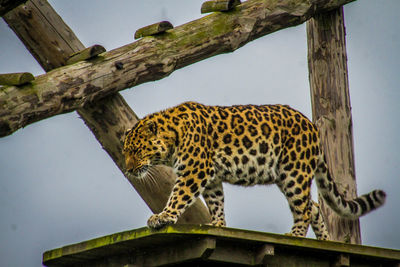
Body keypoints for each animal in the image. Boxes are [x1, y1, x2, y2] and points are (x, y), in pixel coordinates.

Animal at [123, 102, 386, 241]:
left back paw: (295, 235)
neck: (172, 138)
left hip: (294, 172)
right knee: (313, 206)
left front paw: (163, 216)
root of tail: (313, 127)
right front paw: (217, 224)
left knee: (303, 208)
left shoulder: (195, 170)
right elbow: (216, 201)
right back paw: (324, 240)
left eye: (136, 150)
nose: (128, 169)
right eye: (125, 151)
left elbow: (179, 195)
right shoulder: (211, 176)